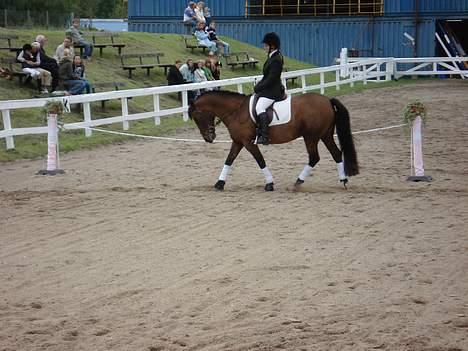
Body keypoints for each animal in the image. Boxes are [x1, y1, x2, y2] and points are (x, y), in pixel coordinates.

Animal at [188, 89, 360, 191]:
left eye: (196, 117)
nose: (209, 138)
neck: (236, 111)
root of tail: (327, 100)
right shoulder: (238, 142)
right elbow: (229, 160)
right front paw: (219, 183)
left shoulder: (248, 143)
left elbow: (260, 160)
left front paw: (269, 184)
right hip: (325, 135)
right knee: (336, 154)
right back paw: (343, 180)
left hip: (311, 137)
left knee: (314, 157)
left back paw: (298, 182)